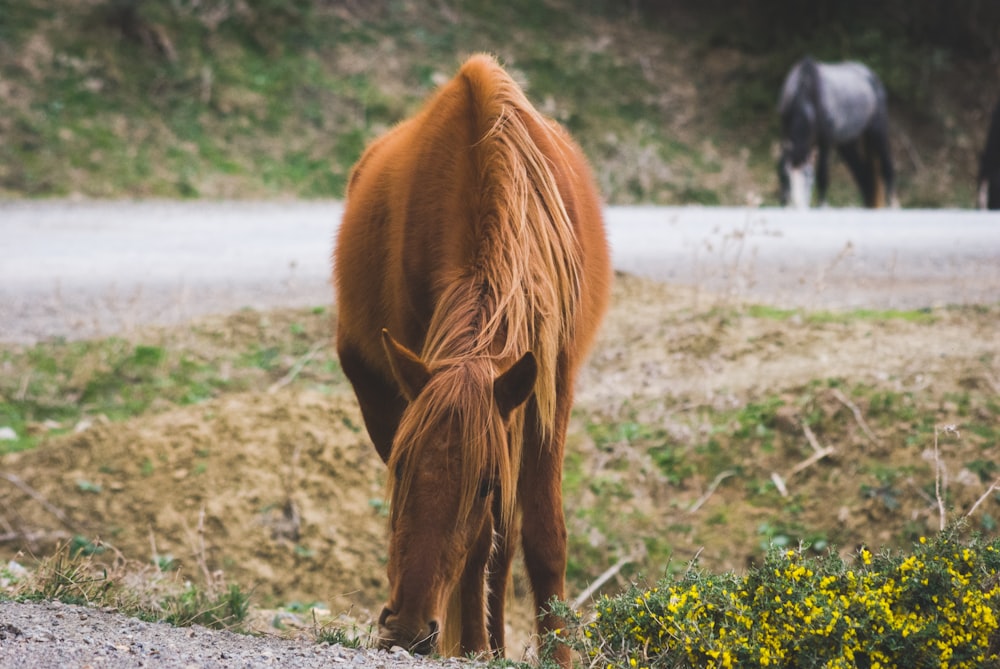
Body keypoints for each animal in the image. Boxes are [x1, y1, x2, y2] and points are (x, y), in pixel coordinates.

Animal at [334, 56, 608, 664]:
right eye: (401, 468)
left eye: (481, 483)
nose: (406, 628)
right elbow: (479, 547)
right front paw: (474, 646)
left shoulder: (550, 385)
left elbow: (539, 538)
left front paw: (550, 654)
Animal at [776, 58, 896, 207]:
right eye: (787, 177)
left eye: (810, 178)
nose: (799, 207)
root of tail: (871, 75)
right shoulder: (786, 137)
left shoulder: (825, 142)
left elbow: (822, 176)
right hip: (847, 143)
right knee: (864, 178)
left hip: (878, 132)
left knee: (887, 169)